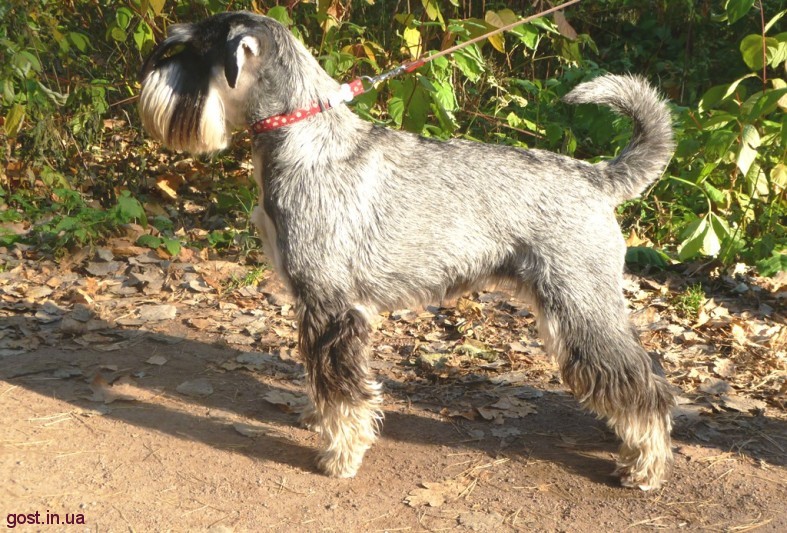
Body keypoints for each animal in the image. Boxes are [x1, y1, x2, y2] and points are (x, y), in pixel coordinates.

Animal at [139, 11, 676, 490]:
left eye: (193, 52)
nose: (148, 77)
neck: (302, 135)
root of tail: (598, 178)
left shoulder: (331, 306)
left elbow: (344, 390)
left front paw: (340, 455)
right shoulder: (316, 305)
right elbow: (323, 377)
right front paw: (317, 418)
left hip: (579, 305)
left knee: (646, 385)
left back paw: (645, 466)